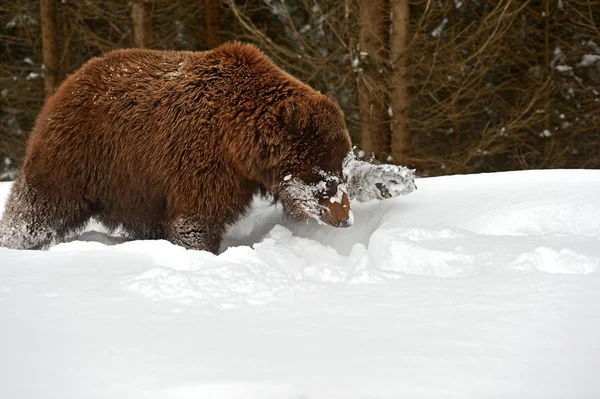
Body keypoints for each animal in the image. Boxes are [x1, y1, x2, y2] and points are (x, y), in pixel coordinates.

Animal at [0, 40, 354, 253]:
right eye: (323, 177)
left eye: (344, 171)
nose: (345, 219)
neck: (239, 145)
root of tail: (69, 82)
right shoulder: (199, 160)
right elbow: (195, 220)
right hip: (79, 153)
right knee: (38, 207)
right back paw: (15, 241)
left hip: (133, 185)